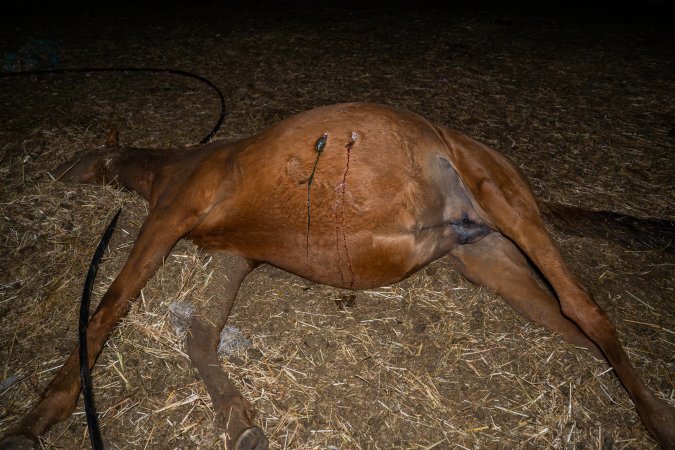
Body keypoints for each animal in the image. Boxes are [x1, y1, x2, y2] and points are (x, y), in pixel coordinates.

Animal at [1, 103, 673, 449]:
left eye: (82, 153)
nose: (52, 171)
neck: (176, 167)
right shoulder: (234, 253)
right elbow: (200, 336)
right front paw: (241, 422)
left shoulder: (171, 214)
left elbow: (109, 304)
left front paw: (37, 419)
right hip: (489, 257)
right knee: (576, 329)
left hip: (504, 200)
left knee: (589, 310)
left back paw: (659, 424)